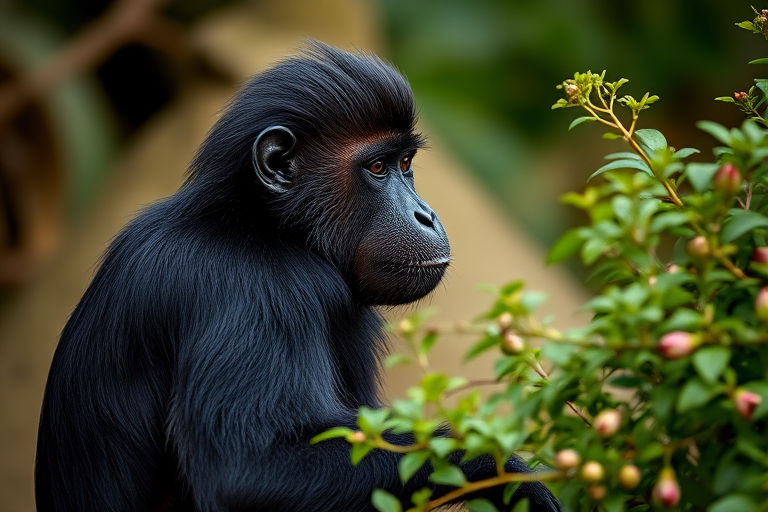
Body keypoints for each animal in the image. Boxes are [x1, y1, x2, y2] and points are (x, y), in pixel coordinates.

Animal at [35, 41, 561, 512]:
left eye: (406, 164)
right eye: (377, 166)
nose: (425, 215)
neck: (262, 225)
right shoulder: (261, 288)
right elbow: (252, 471)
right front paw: (506, 474)